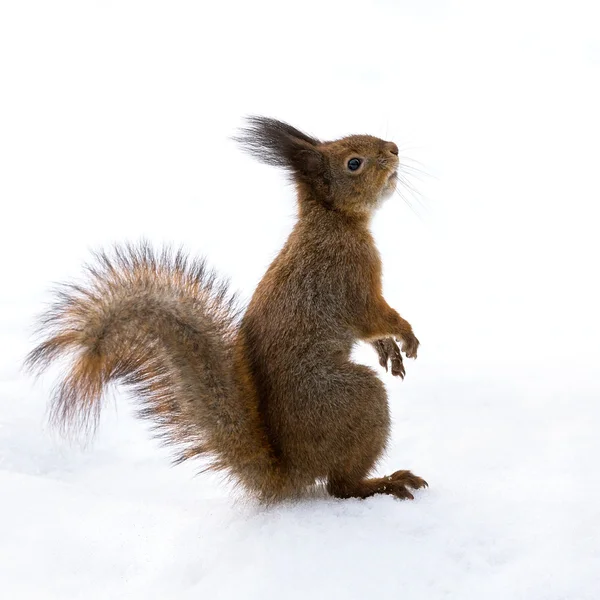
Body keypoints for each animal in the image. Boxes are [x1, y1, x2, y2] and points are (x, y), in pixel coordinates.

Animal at [25, 117, 424, 502]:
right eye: (354, 163)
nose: (393, 149)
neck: (332, 221)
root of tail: (289, 471)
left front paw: (388, 349)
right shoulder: (350, 277)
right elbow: (373, 317)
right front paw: (405, 334)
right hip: (356, 400)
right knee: (339, 486)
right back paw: (384, 483)